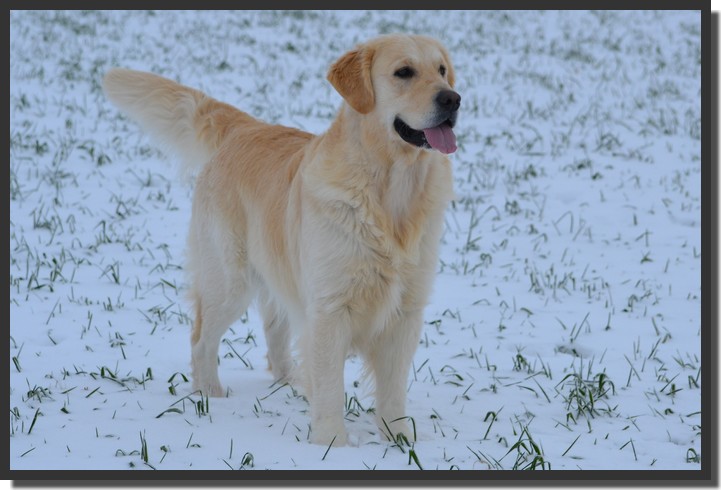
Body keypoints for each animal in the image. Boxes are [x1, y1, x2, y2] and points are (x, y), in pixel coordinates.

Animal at [103, 33, 458, 448]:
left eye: (441, 70)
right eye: (404, 72)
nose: (452, 99)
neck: (390, 197)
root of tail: (245, 128)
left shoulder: (406, 310)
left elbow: (392, 389)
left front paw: (399, 440)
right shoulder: (330, 308)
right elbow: (331, 387)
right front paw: (332, 443)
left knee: (275, 328)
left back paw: (289, 381)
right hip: (229, 280)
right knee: (201, 337)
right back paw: (210, 394)